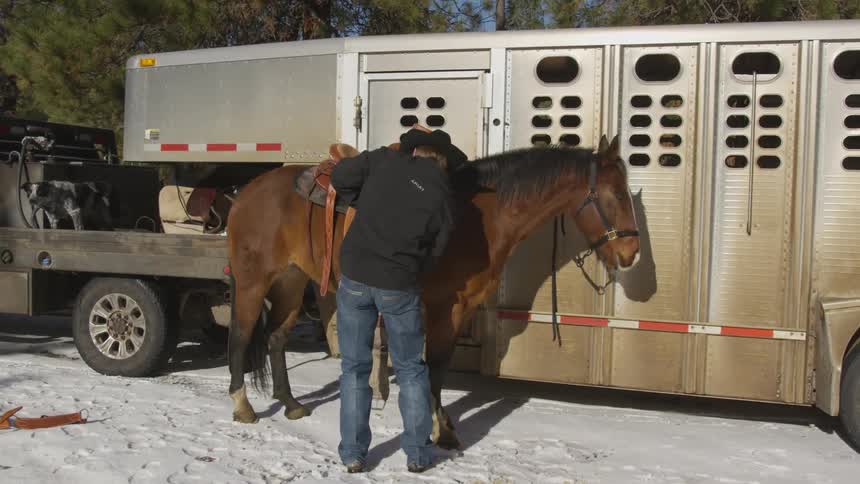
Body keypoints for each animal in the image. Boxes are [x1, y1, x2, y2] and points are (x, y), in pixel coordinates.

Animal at [224, 134, 640, 449]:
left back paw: (290, 403)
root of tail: (246, 191)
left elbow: (437, 366)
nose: (631, 254)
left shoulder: (463, 309)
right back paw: (242, 406)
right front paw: (441, 430)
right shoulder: (444, 307)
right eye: (618, 195)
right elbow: (436, 366)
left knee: (276, 338)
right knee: (241, 337)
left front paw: (444, 426)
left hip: (292, 283)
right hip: (252, 283)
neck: (479, 219)